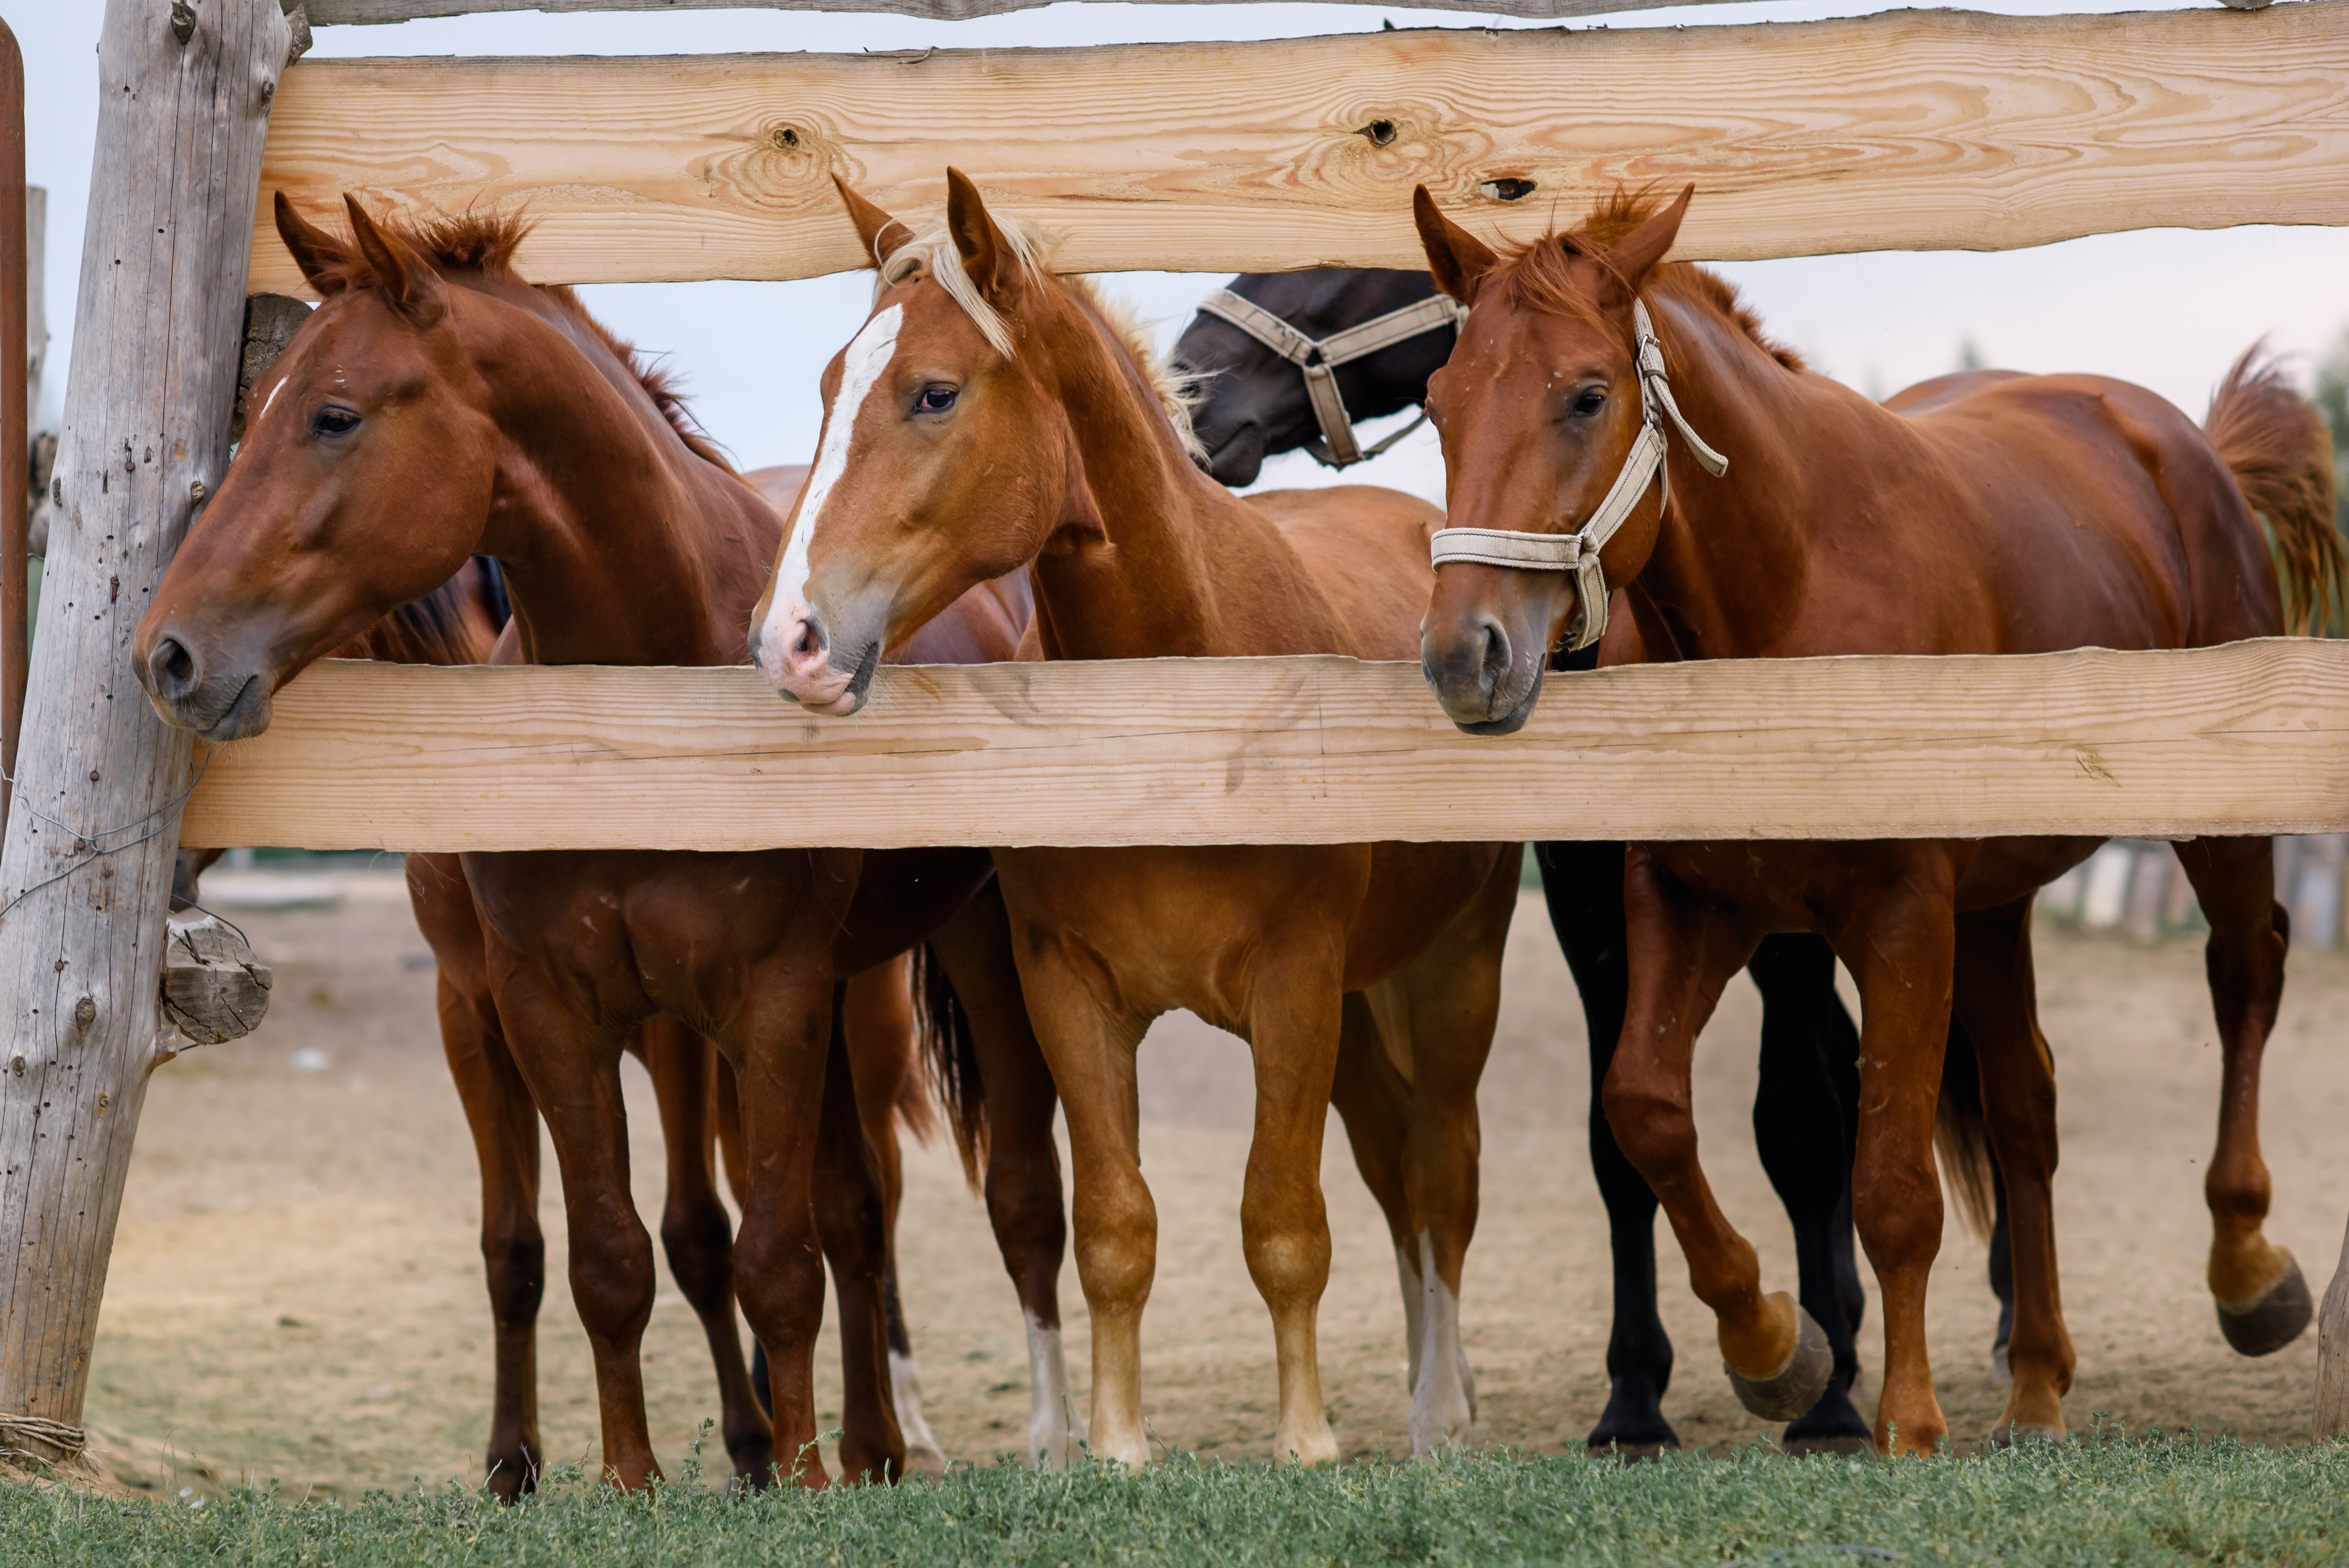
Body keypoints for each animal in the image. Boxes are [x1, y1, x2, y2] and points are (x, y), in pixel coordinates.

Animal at [133, 194, 1079, 1489]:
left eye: (332, 415)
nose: (169, 652)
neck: (634, 708)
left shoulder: (763, 997)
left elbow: (767, 1252)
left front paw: (791, 1473)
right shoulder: (541, 1002)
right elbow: (602, 1255)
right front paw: (627, 1478)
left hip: (933, 968)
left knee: (929, 1202)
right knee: (847, 1205)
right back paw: (866, 1441)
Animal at [753, 168, 1521, 1467]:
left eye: (933, 393)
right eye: (820, 393)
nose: (790, 640)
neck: (1177, 700)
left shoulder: (1295, 984)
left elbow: (1282, 1221)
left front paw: (1305, 1441)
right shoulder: (1070, 988)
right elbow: (1113, 1223)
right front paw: (1111, 1445)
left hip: (1453, 967)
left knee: (1444, 1175)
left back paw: (1439, 1410)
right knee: (1394, 1173)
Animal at [1411, 182, 2338, 1452]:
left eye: (1587, 395)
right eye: (1438, 404)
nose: (1468, 656)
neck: (1794, 593)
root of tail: (2182, 442)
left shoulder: (1899, 917)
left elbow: (1890, 1186)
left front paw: (1901, 1419)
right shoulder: (1690, 905)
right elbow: (1646, 1111)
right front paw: (1774, 1350)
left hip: (2213, 833)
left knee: (2248, 975)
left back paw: (2248, 1273)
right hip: (1994, 905)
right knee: (2027, 1105)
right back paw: (2035, 1383)